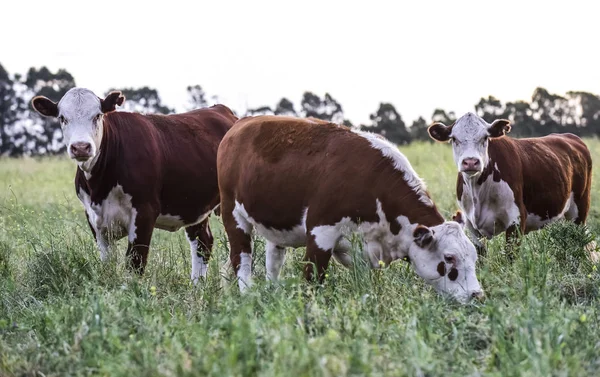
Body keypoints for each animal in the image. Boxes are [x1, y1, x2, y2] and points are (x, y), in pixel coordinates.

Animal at [31, 86, 237, 280]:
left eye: (97, 115)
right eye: (62, 118)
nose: (81, 147)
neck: (100, 188)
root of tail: (222, 110)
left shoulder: (145, 212)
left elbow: (135, 263)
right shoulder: (94, 218)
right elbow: (108, 263)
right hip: (193, 204)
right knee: (202, 242)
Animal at [428, 110, 592, 253]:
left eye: (485, 137)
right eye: (454, 139)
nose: (470, 162)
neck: (478, 193)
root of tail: (570, 137)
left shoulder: (516, 219)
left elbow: (510, 257)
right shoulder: (471, 226)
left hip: (580, 210)